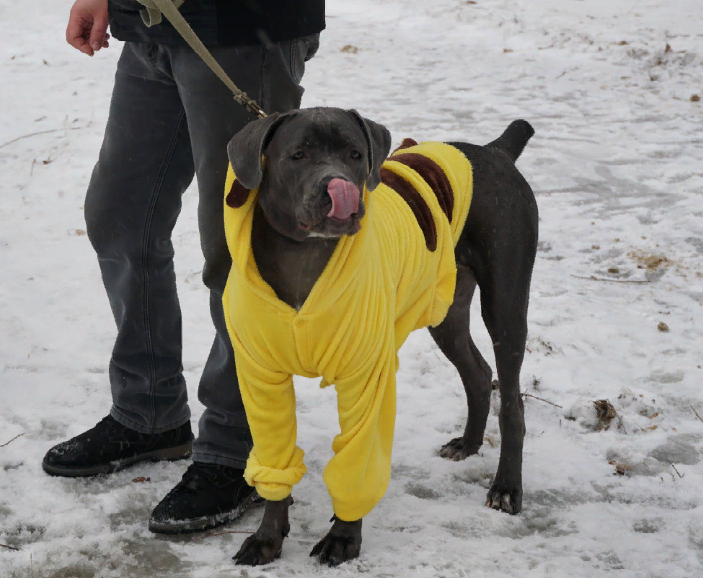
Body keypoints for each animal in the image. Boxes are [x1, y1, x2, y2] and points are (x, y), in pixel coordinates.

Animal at [223, 107, 536, 564]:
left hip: (506, 303)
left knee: (511, 401)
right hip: (446, 310)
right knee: (478, 374)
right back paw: (468, 444)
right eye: (298, 154)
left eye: (355, 154)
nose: (340, 186)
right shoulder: (261, 381)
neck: (304, 256)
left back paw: (507, 487)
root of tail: (495, 151)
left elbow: (357, 464)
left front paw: (343, 537)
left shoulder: (366, 378)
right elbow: (275, 464)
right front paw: (267, 537)